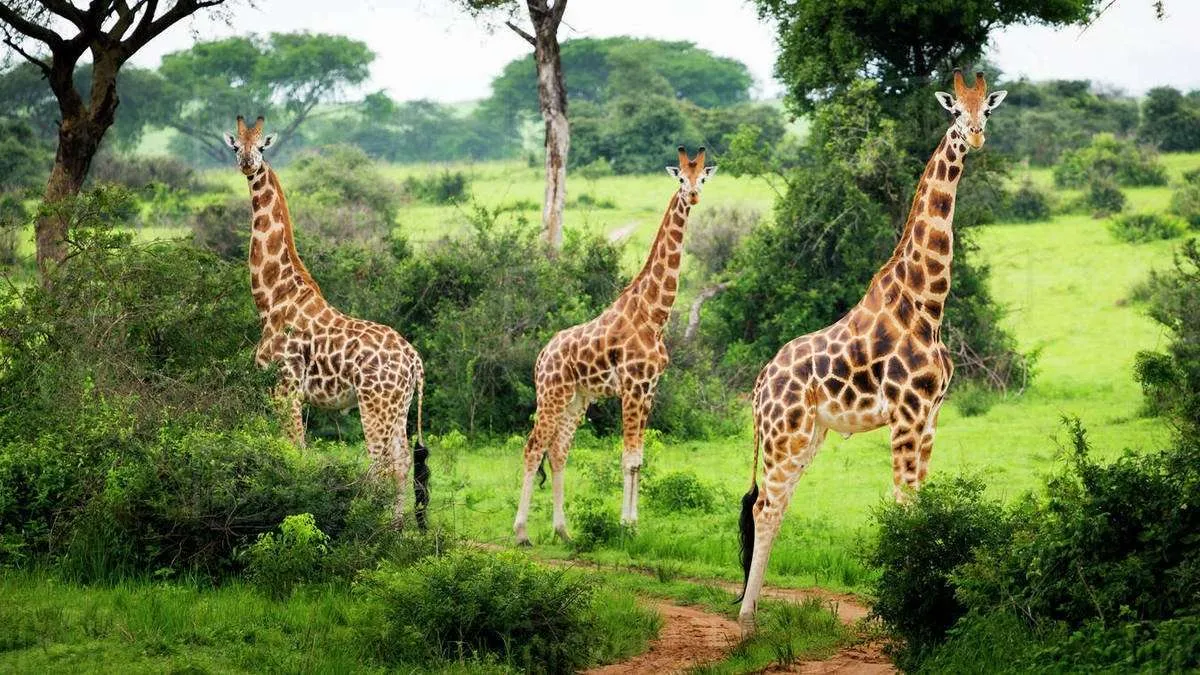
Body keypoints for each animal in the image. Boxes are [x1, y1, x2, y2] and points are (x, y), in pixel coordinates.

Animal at [223, 116, 430, 528]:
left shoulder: (284, 389)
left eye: (262, 146)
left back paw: (376, 527)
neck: (272, 298)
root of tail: (415, 361)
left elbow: (295, 452)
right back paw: (397, 529)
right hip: (399, 408)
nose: (248, 164)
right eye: (236, 145)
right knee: (401, 463)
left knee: (382, 464)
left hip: (375, 404)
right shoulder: (286, 395)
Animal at [513, 145, 717, 546]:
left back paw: (563, 531)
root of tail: (541, 357)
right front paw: (625, 526)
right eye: (680, 179)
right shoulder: (632, 388)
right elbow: (628, 458)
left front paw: (633, 524)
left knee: (558, 452)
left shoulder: (650, 389)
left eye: (702, 177)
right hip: (551, 394)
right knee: (533, 447)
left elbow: (638, 459)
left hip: (576, 400)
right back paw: (522, 532)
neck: (654, 316)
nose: (693, 196)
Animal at [734, 71, 1007, 633]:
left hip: (809, 434)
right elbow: (901, 503)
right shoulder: (905, 414)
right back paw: (748, 616)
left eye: (986, 110)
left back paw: (761, 607)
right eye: (954, 111)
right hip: (784, 434)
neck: (927, 305)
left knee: (778, 503)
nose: (974, 137)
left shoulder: (930, 417)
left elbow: (919, 504)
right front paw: (898, 609)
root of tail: (759, 385)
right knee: (764, 506)